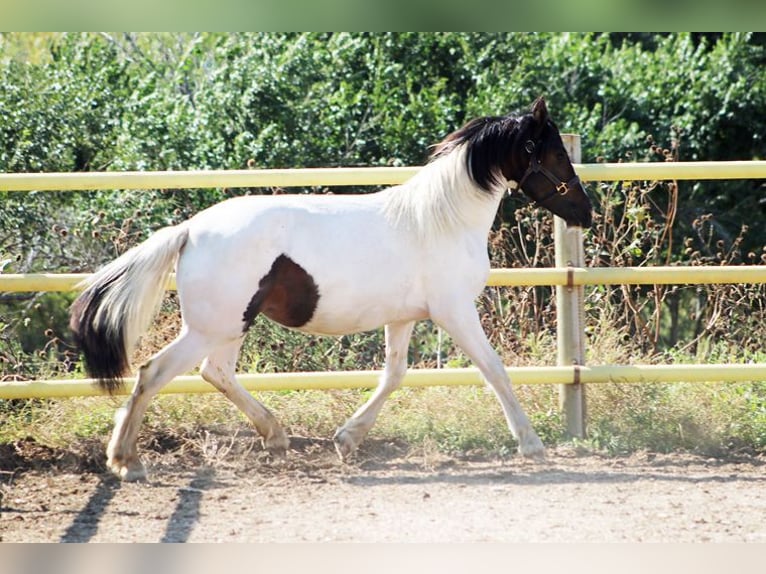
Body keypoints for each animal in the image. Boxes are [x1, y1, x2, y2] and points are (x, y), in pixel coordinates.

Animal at [70, 97, 592, 481]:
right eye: (553, 152)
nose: (585, 213)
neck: (439, 221)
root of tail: (190, 230)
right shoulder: (456, 312)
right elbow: (495, 371)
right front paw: (531, 444)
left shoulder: (404, 318)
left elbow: (394, 375)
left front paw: (348, 439)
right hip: (212, 326)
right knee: (154, 373)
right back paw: (126, 461)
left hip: (230, 325)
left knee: (214, 373)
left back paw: (274, 437)